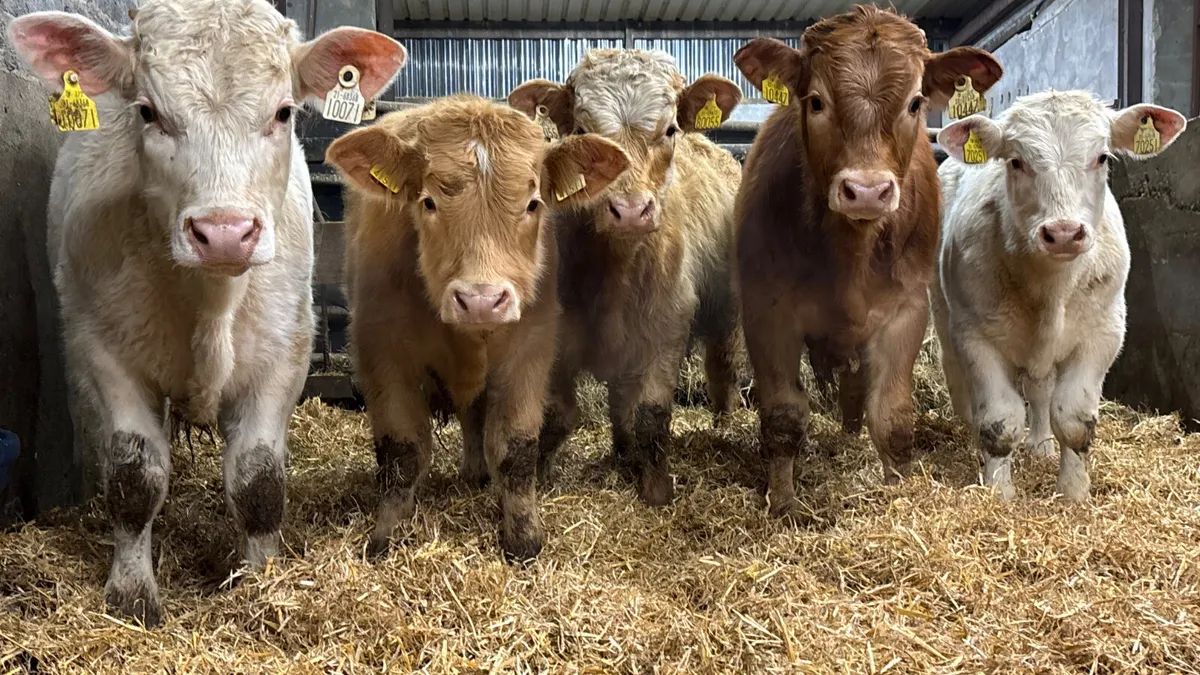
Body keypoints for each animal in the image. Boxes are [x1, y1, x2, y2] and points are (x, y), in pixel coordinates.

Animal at [8, 0, 406, 625]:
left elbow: (258, 481)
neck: (209, 303)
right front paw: (132, 594)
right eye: (147, 112)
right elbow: (134, 478)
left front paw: (262, 580)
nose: (224, 233)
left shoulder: (283, 352)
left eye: (284, 111)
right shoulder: (102, 351)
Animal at [326, 96, 629, 561]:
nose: (481, 300)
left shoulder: (530, 347)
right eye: (428, 202)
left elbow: (515, 448)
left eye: (533, 203)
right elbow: (402, 450)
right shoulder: (382, 350)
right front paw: (386, 534)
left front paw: (523, 536)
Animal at [507, 49, 744, 507]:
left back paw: (725, 424)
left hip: (729, 317)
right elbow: (557, 414)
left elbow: (652, 415)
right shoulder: (558, 336)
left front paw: (656, 489)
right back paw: (620, 451)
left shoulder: (667, 329)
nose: (631, 211)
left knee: (723, 368)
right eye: (582, 132)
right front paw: (540, 475)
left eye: (669, 129)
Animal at [732, 6, 1002, 518]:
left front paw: (898, 489)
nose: (867, 190)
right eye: (816, 101)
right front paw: (784, 503)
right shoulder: (765, 311)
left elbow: (892, 417)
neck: (849, 255)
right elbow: (783, 416)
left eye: (916, 103)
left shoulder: (905, 310)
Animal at [933, 91, 1187, 501]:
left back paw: (1041, 445)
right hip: (943, 312)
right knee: (959, 378)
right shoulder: (975, 335)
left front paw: (1073, 493)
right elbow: (1000, 420)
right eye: (1016, 161)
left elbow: (1072, 417)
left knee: (1039, 390)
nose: (1064, 233)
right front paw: (999, 491)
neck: (1050, 289)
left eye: (1102, 157)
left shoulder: (1104, 332)